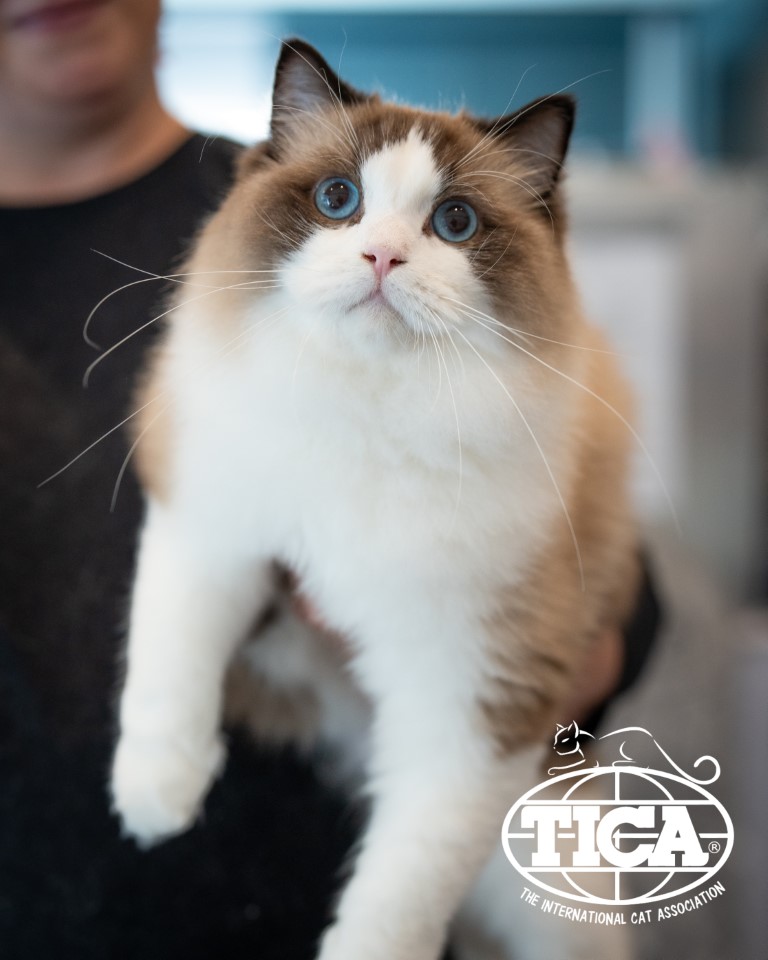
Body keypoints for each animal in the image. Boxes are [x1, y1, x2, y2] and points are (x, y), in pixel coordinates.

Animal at [110, 39, 640, 960]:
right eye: (338, 201)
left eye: (454, 224)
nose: (383, 258)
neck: (370, 413)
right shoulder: (214, 530)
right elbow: (170, 667)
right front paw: (156, 802)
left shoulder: (471, 697)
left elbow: (398, 896)